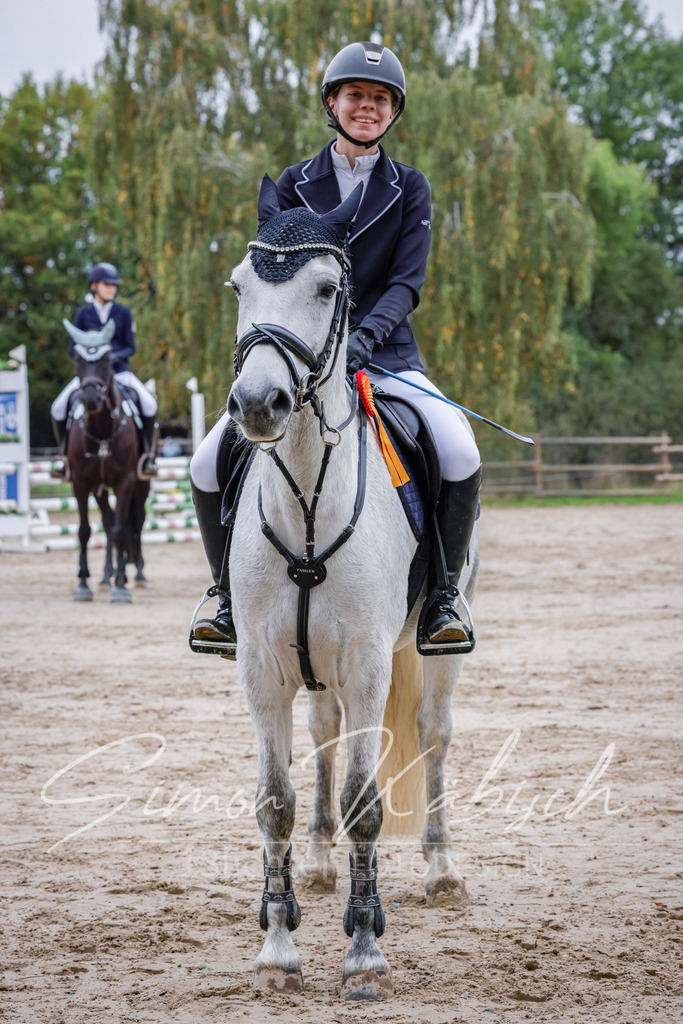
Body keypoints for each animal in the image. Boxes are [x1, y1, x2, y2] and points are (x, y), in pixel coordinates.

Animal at [62, 319, 150, 603]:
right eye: (78, 359)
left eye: (108, 358)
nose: (90, 399)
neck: (101, 431)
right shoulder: (80, 483)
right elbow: (85, 531)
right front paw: (83, 584)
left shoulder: (126, 482)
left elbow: (123, 531)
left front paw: (121, 586)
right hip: (100, 489)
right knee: (108, 523)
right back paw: (104, 577)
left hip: (142, 486)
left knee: (136, 522)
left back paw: (137, 575)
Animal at [223, 178, 479, 1000]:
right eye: (238, 286)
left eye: (327, 288)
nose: (258, 405)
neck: (307, 495)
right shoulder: (262, 667)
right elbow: (275, 800)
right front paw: (277, 946)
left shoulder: (368, 663)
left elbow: (367, 804)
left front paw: (364, 952)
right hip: (317, 670)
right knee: (325, 737)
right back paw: (317, 863)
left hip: (431, 655)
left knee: (432, 736)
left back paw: (441, 870)